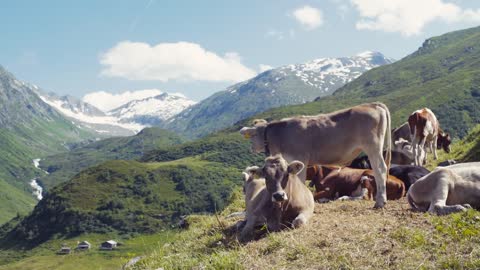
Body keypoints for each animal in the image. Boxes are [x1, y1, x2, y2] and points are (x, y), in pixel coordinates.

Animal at [238, 102, 392, 209]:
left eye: (252, 136)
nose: (251, 147)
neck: (278, 136)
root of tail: (372, 104)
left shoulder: (300, 158)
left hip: (373, 147)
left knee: (380, 170)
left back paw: (380, 201)